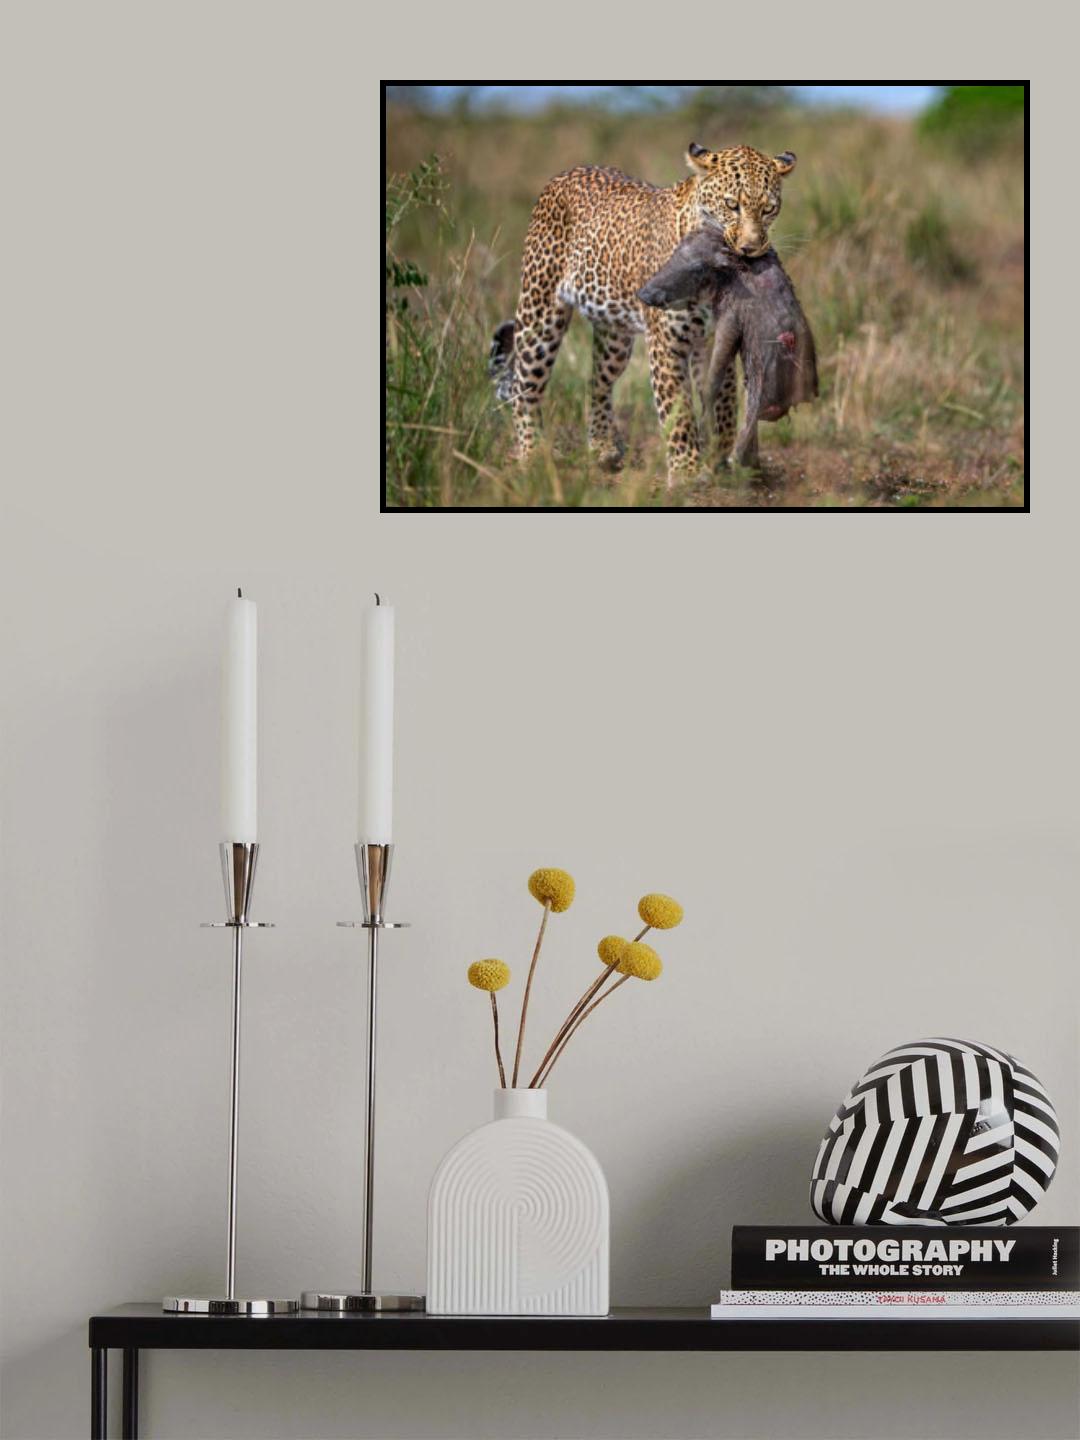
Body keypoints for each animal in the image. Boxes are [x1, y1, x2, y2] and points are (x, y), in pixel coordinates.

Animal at [489, 143, 797, 487]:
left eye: (769, 209)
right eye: (733, 205)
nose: (750, 249)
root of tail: (567, 172)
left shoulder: (713, 341)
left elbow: (724, 402)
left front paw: (721, 459)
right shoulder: (665, 342)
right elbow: (678, 410)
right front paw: (687, 471)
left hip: (615, 338)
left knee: (596, 382)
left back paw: (603, 446)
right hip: (540, 313)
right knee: (524, 383)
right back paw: (532, 453)